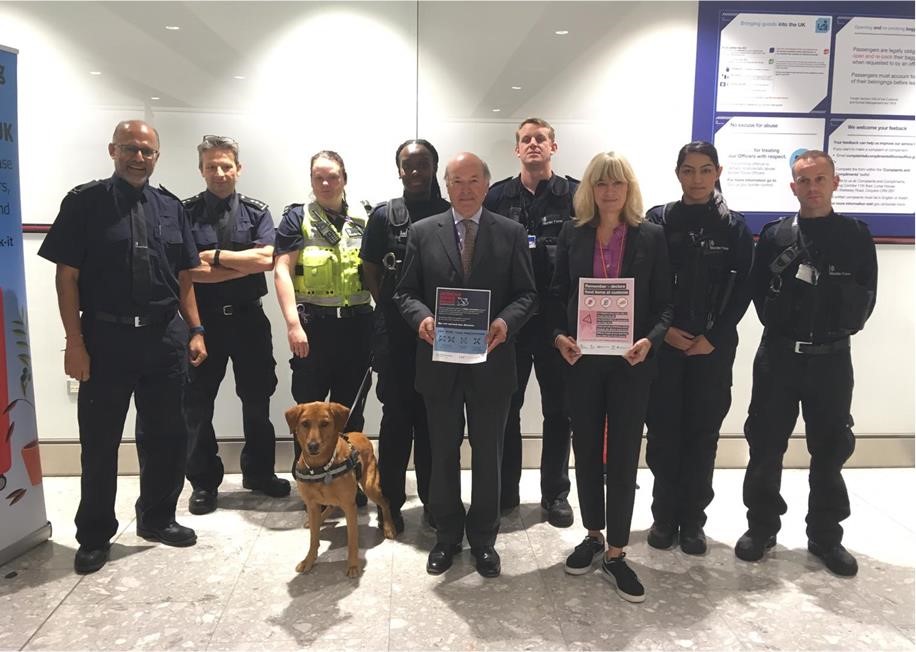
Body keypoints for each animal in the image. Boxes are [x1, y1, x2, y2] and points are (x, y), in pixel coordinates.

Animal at [284, 400, 396, 580]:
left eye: (325, 423)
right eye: (305, 423)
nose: (312, 446)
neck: (322, 467)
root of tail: (361, 435)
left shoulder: (349, 507)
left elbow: (352, 540)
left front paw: (353, 565)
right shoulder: (312, 505)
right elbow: (313, 539)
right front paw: (309, 560)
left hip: (370, 487)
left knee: (385, 502)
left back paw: (389, 527)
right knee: (329, 507)